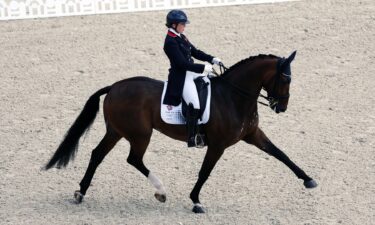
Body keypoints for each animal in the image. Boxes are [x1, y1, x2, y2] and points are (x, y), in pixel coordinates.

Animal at [44, 51, 318, 213]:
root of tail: (114, 87)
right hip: (140, 134)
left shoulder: (253, 135)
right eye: (286, 79)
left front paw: (308, 180)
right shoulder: (217, 145)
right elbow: (205, 172)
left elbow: (281, 154)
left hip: (117, 131)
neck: (233, 96)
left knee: (97, 155)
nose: (281, 107)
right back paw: (161, 192)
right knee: (133, 159)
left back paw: (81, 192)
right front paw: (196, 200)